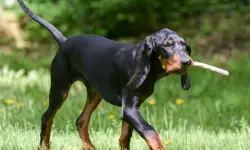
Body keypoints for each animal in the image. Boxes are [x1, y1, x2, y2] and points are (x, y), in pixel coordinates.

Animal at [17, 0, 192, 149]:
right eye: (167, 45)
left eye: (184, 46)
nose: (187, 62)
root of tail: (64, 42)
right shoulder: (129, 108)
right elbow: (150, 131)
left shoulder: (130, 108)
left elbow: (124, 137)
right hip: (60, 90)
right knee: (47, 118)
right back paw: (44, 146)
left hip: (95, 93)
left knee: (81, 120)